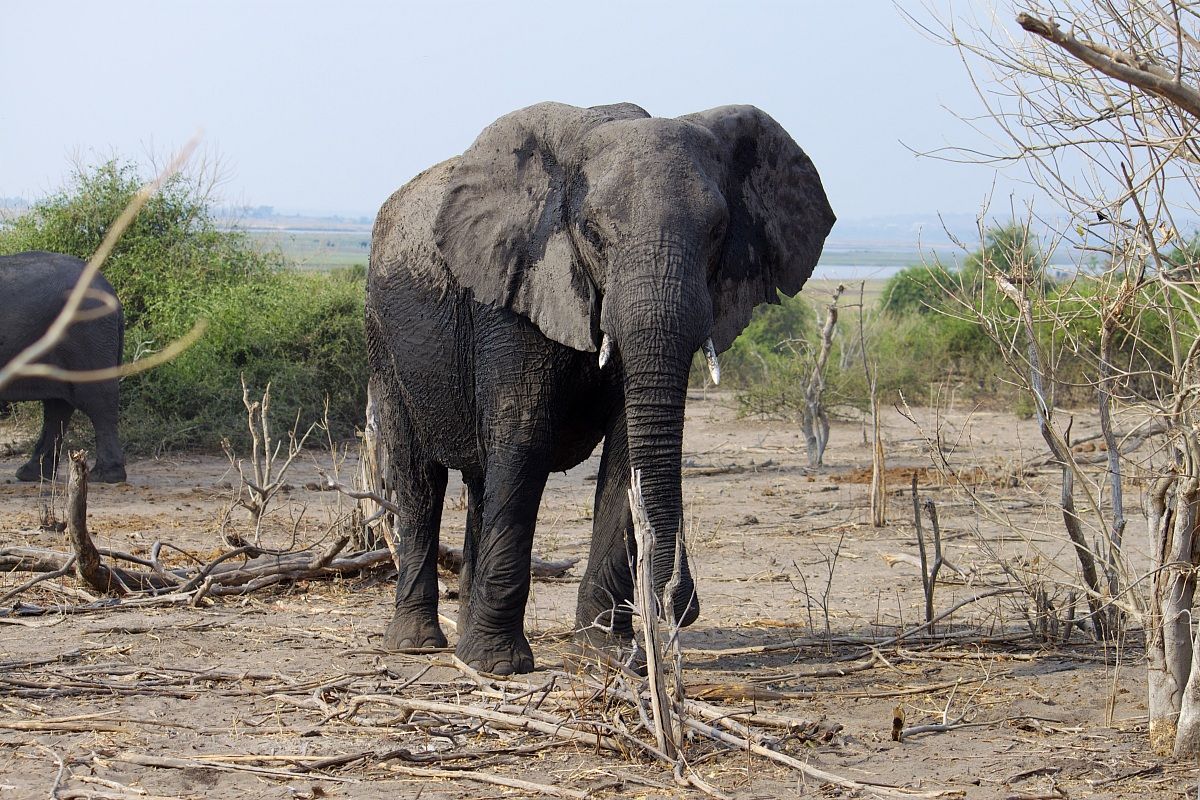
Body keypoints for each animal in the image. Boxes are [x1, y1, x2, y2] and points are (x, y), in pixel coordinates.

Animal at [0, 251, 127, 483]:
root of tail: (111, 292)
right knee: (58, 406)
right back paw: (31, 474)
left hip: (87, 333)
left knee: (97, 400)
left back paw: (105, 476)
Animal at [366, 101, 834, 674]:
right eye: (591, 232)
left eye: (718, 232)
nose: (682, 605)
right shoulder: (514, 291)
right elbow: (524, 437)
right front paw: (500, 666)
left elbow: (626, 452)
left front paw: (606, 656)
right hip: (384, 339)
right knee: (420, 481)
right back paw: (418, 644)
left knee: (478, 479)